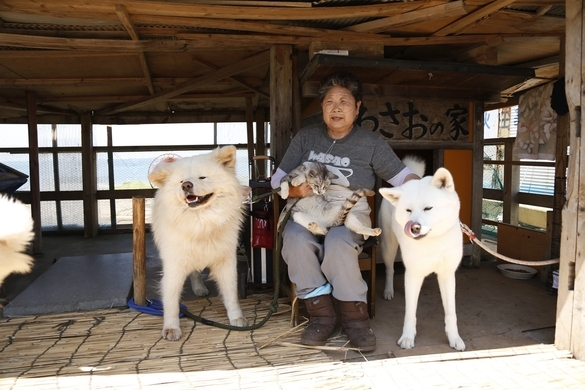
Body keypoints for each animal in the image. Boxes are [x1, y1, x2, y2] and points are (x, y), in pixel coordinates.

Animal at [148, 146, 249, 342]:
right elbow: (171, 301)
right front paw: (171, 328)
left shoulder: (226, 261)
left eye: (202, 177)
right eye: (181, 181)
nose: (186, 185)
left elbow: (231, 294)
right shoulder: (174, 265)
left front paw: (237, 318)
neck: (202, 222)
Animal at [378, 157, 466, 352]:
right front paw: (407, 337)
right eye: (408, 210)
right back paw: (388, 290)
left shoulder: (447, 275)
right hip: (389, 247)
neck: (432, 243)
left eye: (428, 208)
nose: (414, 227)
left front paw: (454, 338)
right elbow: (410, 313)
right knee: (389, 269)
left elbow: (451, 313)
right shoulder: (413, 274)